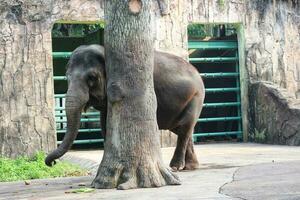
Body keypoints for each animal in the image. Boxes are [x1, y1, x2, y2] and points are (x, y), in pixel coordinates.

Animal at [45, 44, 205, 170]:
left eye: (92, 78)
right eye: (67, 77)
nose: (52, 163)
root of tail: (196, 72)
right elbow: (105, 125)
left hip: (196, 97)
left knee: (184, 128)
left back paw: (176, 167)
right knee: (183, 129)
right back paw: (190, 166)